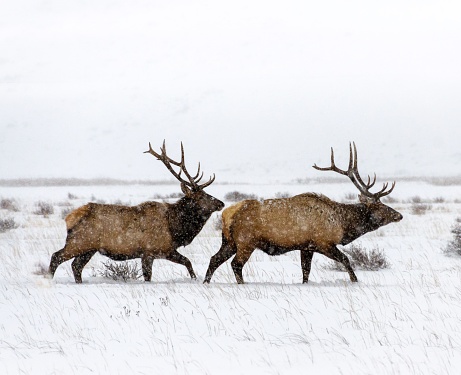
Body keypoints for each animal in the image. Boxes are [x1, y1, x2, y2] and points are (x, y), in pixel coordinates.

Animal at [48, 142, 223, 284]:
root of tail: (70, 217)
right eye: (201, 196)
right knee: (56, 257)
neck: (175, 229)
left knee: (76, 266)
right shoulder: (153, 250)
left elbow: (186, 263)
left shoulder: (158, 252)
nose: (221, 203)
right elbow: (167, 269)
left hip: (89, 248)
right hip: (78, 242)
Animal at [205, 144, 402, 284]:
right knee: (236, 264)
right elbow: (346, 260)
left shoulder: (306, 246)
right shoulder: (324, 242)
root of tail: (227, 214)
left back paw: (206, 282)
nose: (399, 215)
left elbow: (305, 271)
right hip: (246, 242)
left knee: (214, 259)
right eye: (380, 206)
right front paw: (355, 281)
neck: (342, 224)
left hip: (229, 241)